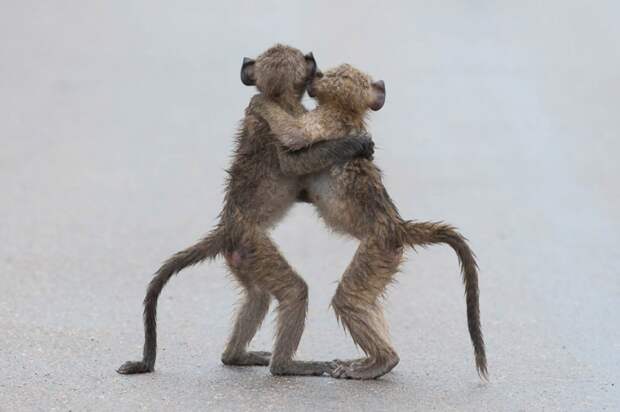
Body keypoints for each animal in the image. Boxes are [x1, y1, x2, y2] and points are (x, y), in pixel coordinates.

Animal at [117, 45, 375, 376]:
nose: (312, 58)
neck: (278, 97)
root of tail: (228, 225)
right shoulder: (292, 119)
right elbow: (294, 162)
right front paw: (354, 144)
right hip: (253, 242)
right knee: (293, 291)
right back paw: (287, 366)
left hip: (243, 255)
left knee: (258, 295)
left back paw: (236, 356)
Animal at [249, 63, 488, 380]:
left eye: (337, 75)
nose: (317, 74)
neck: (349, 112)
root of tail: (397, 225)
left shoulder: (325, 121)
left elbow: (294, 137)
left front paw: (260, 104)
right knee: (364, 300)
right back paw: (380, 359)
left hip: (379, 249)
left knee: (348, 298)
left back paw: (381, 362)